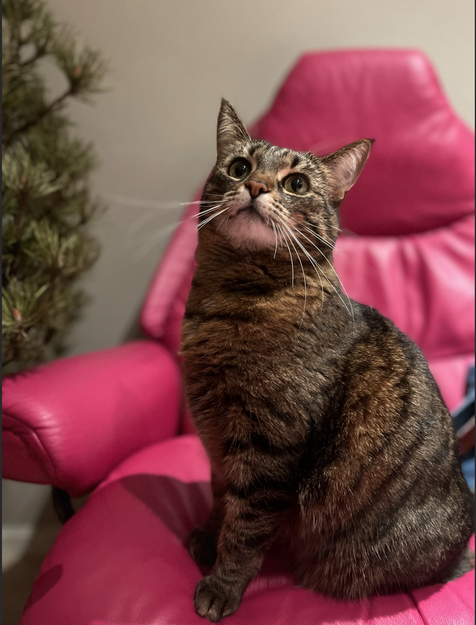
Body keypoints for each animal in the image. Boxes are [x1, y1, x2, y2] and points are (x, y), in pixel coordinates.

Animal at [180, 99, 475, 622]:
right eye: (239, 168)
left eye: (296, 184)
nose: (255, 186)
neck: (234, 298)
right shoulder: (218, 446)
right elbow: (221, 500)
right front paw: (207, 539)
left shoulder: (268, 448)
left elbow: (244, 528)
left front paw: (221, 583)